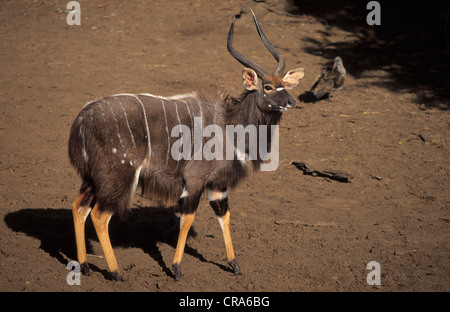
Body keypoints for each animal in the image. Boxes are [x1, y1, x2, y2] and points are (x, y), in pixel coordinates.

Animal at [67, 12, 306, 282]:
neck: (229, 126)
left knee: (79, 207)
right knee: (99, 215)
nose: (291, 101)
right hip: (118, 178)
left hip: (94, 179)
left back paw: (85, 266)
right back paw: (116, 272)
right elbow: (188, 216)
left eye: (284, 84)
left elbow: (224, 216)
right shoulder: (194, 180)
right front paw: (177, 268)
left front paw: (234, 265)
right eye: (267, 87)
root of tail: (81, 122)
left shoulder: (218, 185)